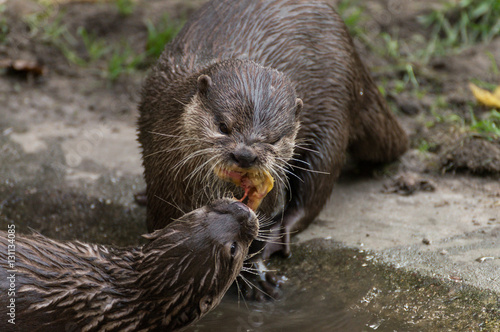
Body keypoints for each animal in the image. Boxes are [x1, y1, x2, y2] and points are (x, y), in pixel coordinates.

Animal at [139, 0, 408, 268]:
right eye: (223, 126)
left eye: (274, 138)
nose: (245, 155)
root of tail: (355, 59)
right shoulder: (159, 183)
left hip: (332, 119)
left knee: (313, 192)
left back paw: (278, 235)